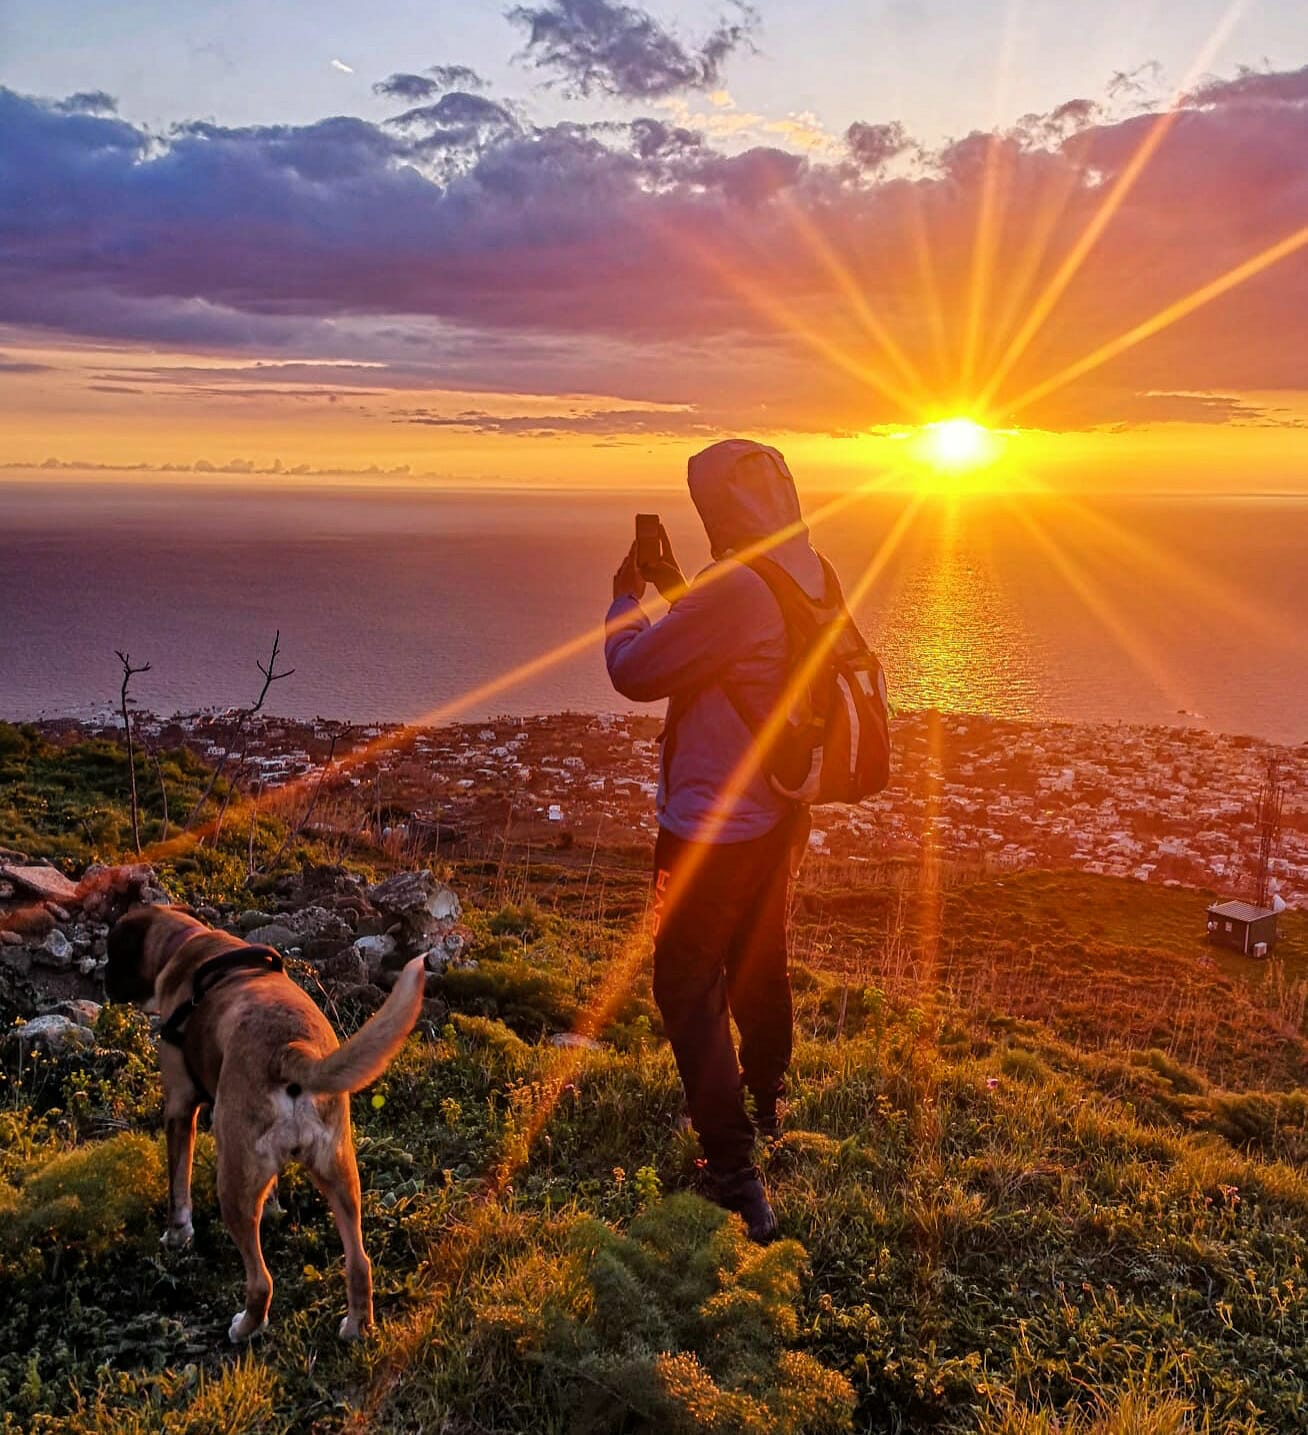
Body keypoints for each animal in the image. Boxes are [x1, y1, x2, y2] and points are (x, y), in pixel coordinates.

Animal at [108, 906, 424, 1343]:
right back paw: (356, 1325)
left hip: (233, 1181)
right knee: (359, 1262)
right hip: (340, 1171)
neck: (186, 944)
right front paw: (274, 1209)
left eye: (112, 950)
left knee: (261, 1281)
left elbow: (178, 1187)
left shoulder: (179, 1109)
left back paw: (246, 1327)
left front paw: (177, 1235)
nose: (104, 982)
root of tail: (290, 1050)